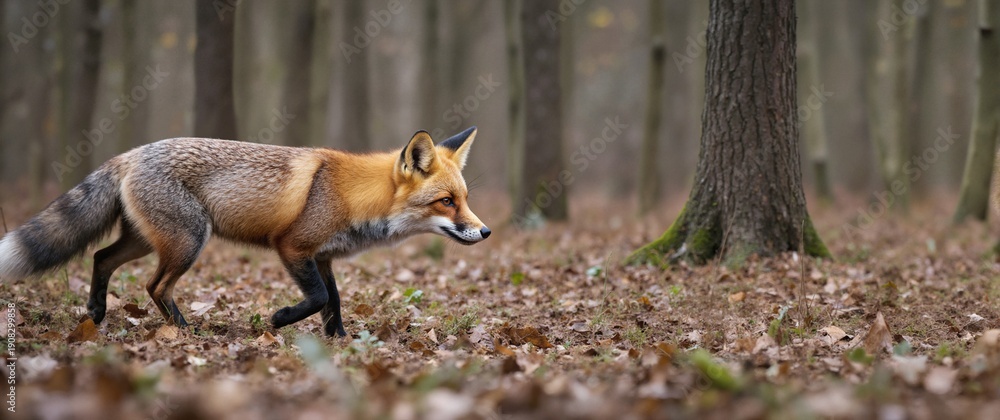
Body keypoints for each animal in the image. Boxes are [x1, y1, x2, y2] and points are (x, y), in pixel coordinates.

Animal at [0, 127, 490, 337]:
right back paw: (187, 333)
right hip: (187, 242)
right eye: (447, 202)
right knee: (155, 286)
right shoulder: (292, 247)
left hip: (145, 240)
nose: (484, 232)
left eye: (464, 198)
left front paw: (339, 343)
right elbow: (317, 298)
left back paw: (96, 314)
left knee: (101, 258)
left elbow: (333, 302)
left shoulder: (323, 256)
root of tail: (131, 152)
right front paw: (280, 319)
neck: (354, 197)